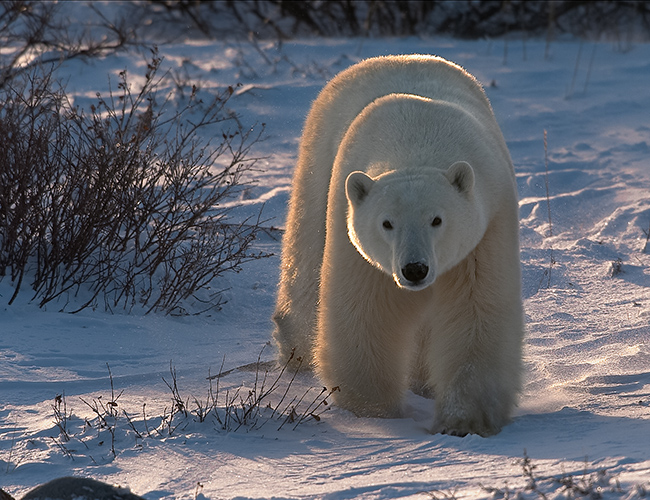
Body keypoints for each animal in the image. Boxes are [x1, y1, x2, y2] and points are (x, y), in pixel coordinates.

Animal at [270, 55, 524, 438]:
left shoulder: (487, 227)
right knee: (306, 256)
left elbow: (477, 313)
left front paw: (462, 421)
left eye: (437, 219)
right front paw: (374, 410)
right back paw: (295, 350)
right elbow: (366, 312)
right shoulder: (353, 234)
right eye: (387, 223)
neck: (419, 139)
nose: (414, 269)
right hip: (318, 159)